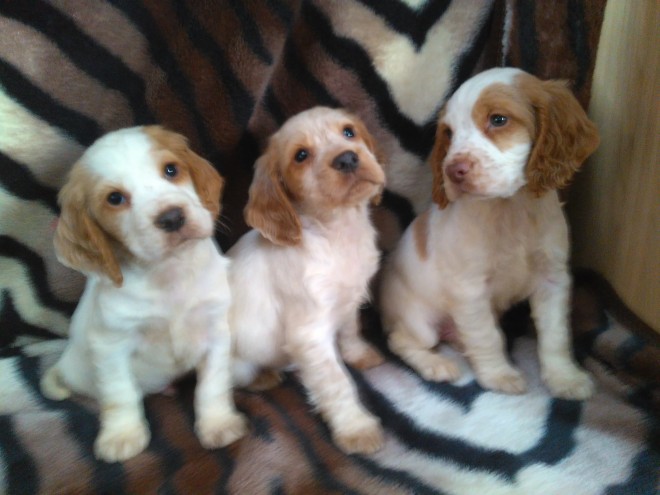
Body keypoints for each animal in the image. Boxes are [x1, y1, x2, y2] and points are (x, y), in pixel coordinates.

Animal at [40, 126, 248, 464]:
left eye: (171, 170)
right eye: (115, 198)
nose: (172, 217)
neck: (169, 273)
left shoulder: (216, 331)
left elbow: (213, 385)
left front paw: (218, 423)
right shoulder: (110, 345)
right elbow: (119, 392)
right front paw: (122, 435)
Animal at [228, 106, 386, 456]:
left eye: (349, 132)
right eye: (300, 155)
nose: (348, 158)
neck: (337, 233)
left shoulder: (349, 300)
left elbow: (351, 330)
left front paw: (360, 355)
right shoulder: (310, 334)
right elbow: (337, 383)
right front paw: (356, 428)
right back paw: (264, 377)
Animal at [376, 68, 600, 402]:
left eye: (498, 119)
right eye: (449, 133)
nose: (453, 170)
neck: (510, 208)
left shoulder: (553, 278)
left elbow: (555, 335)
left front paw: (565, 378)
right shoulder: (469, 288)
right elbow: (487, 337)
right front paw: (499, 375)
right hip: (418, 320)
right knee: (401, 340)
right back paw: (435, 364)